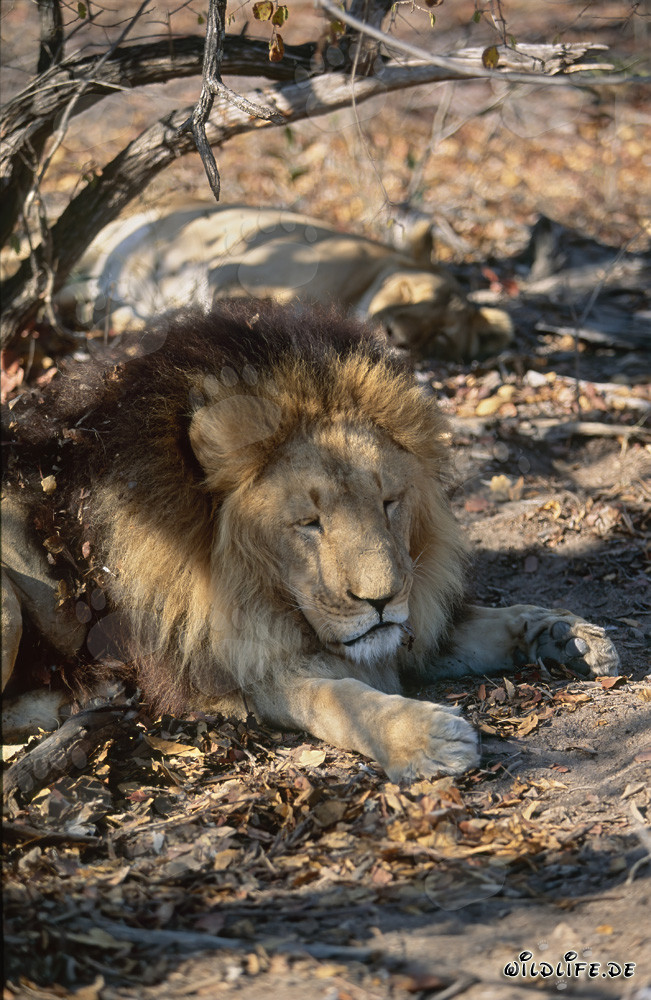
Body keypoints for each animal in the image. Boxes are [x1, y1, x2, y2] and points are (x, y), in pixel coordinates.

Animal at [1, 302, 618, 781]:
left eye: (389, 502)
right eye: (309, 523)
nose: (381, 600)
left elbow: (485, 623)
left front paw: (565, 634)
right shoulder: (242, 672)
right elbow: (339, 699)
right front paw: (425, 740)